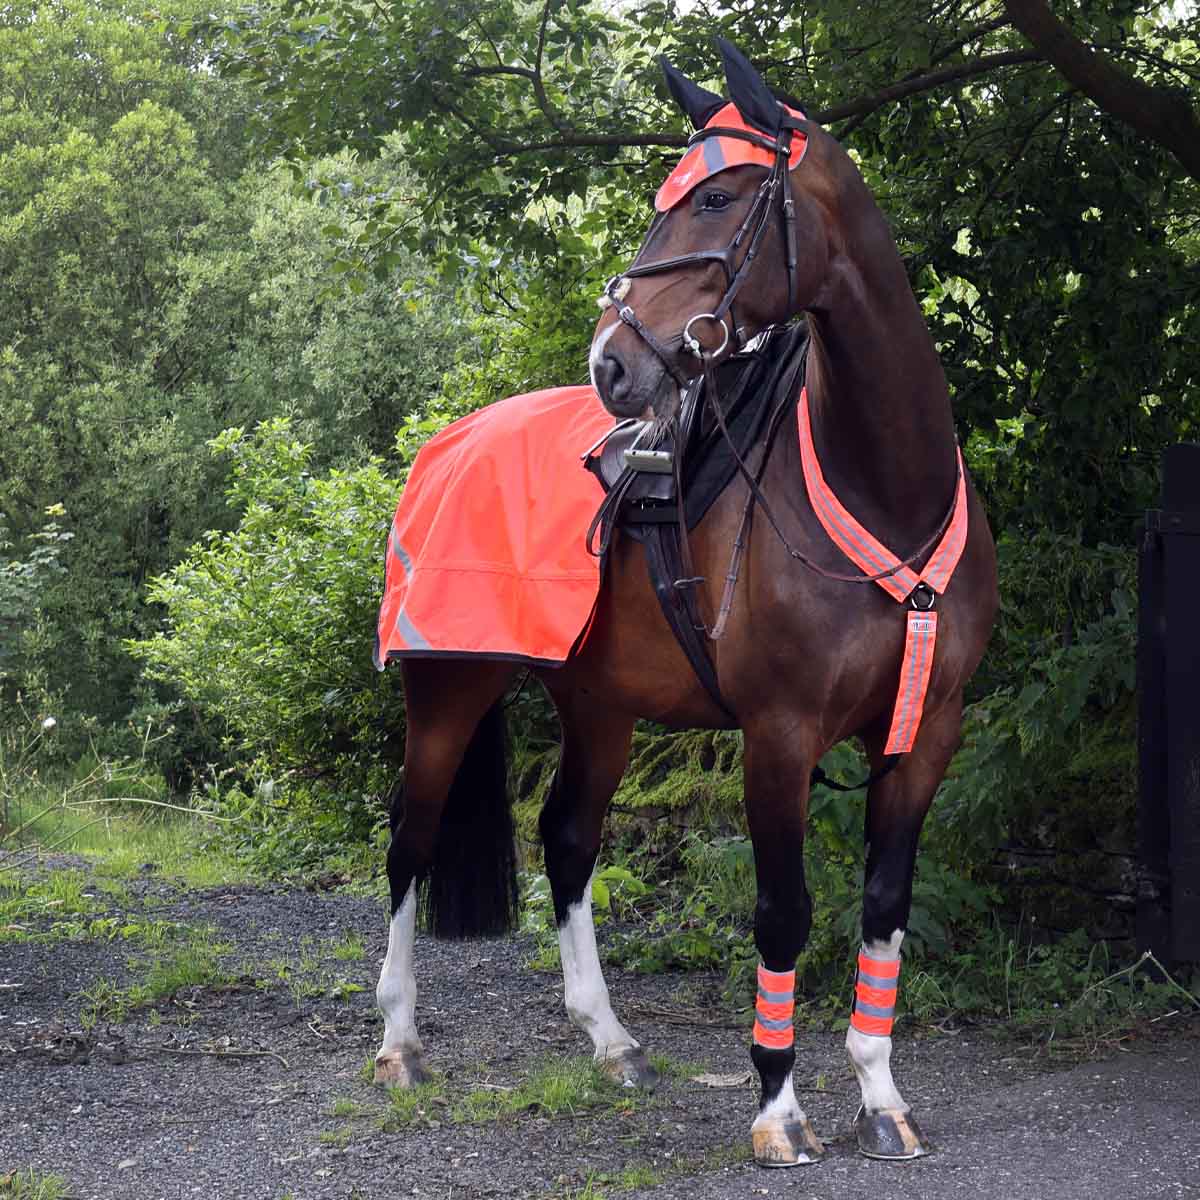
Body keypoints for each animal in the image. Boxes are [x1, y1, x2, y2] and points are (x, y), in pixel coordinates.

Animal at [369, 42, 998, 1166]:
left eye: (714, 196)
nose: (611, 363)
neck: (884, 489)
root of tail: (448, 444)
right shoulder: (779, 737)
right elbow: (784, 911)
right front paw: (779, 1108)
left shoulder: (927, 733)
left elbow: (883, 907)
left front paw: (880, 1093)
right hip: (448, 692)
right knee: (412, 836)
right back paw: (398, 1041)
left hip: (600, 705)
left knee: (568, 837)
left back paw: (609, 1040)